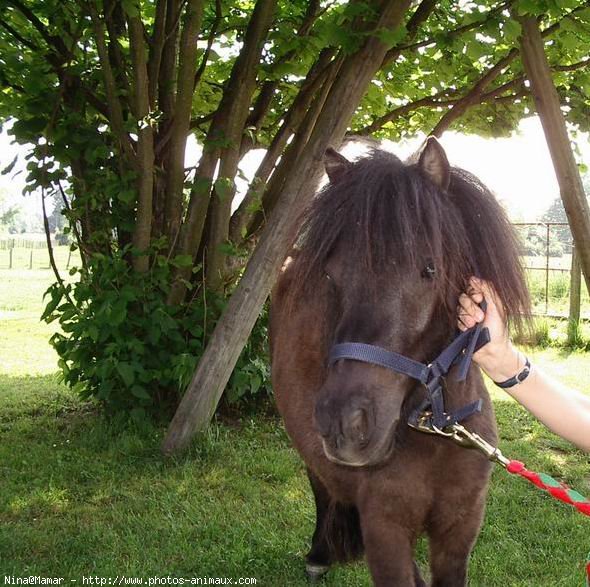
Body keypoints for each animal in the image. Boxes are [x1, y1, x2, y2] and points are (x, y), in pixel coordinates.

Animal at [270, 139, 528, 587]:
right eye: (331, 276)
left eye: (430, 269)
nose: (345, 423)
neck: (435, 434)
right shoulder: (385, 531)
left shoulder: (458, 532)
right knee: (320, 483)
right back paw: (319, 554)